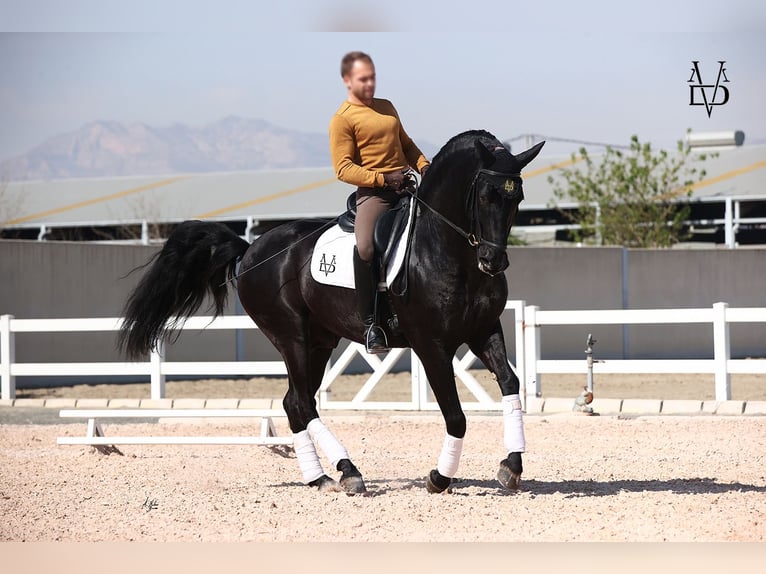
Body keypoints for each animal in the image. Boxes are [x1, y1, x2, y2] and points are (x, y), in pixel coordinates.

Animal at [118, 130, 544, 496]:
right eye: (485, 196)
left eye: (517, 197)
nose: (493, 261)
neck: (447, 250)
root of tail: (250, 249)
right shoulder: (431, 345)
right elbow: (456, 415)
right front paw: (439, 478)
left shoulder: (483, 330)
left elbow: (511, 384)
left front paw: (511, 466)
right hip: (292, 338)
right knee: (302, 403)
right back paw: (347, 473)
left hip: (320, 341)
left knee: (294, 402)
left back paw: (322, 477)